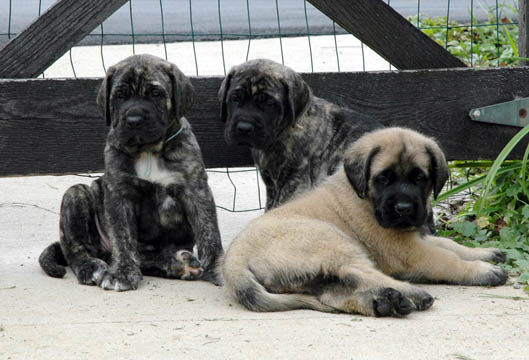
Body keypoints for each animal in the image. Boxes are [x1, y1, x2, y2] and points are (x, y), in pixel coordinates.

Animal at [39, 54, 223, 292]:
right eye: (119, 96)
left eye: (155, 93)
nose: (134, 120)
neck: (148, 150)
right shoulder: (119, 195)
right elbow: (123, 238)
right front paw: (123, 273)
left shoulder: (196, 191)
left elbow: (209, 232)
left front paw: (218, 267)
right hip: (76, 193)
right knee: (78, 250)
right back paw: (91, 267)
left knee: (141, 257)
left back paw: (177, 263)